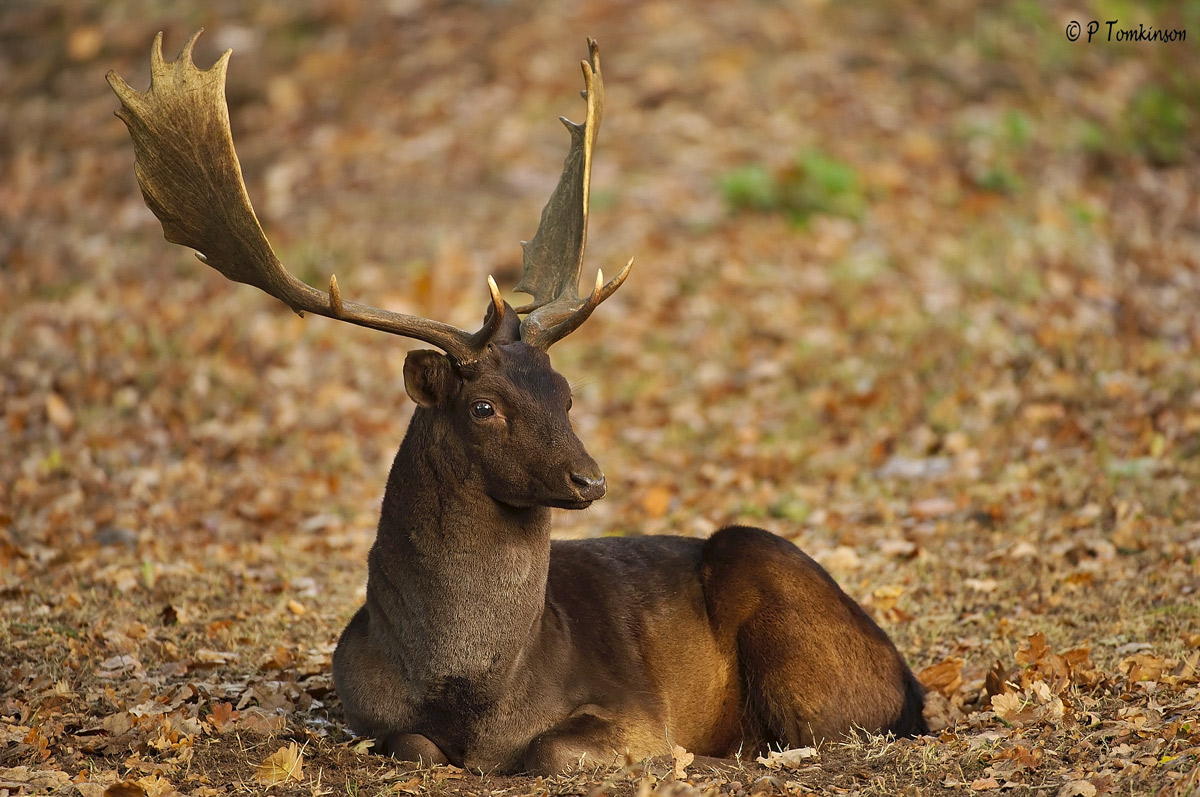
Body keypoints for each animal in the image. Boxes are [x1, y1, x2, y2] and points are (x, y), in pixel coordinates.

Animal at [108, 31, 927, 775]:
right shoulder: (368, 713)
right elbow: (413, 745)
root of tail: (912, 684)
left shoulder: (636, 712)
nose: (590, 478)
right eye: (484, 408)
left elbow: (550, 752)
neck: (470, 689)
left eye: (566, 395)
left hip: (786, 614)